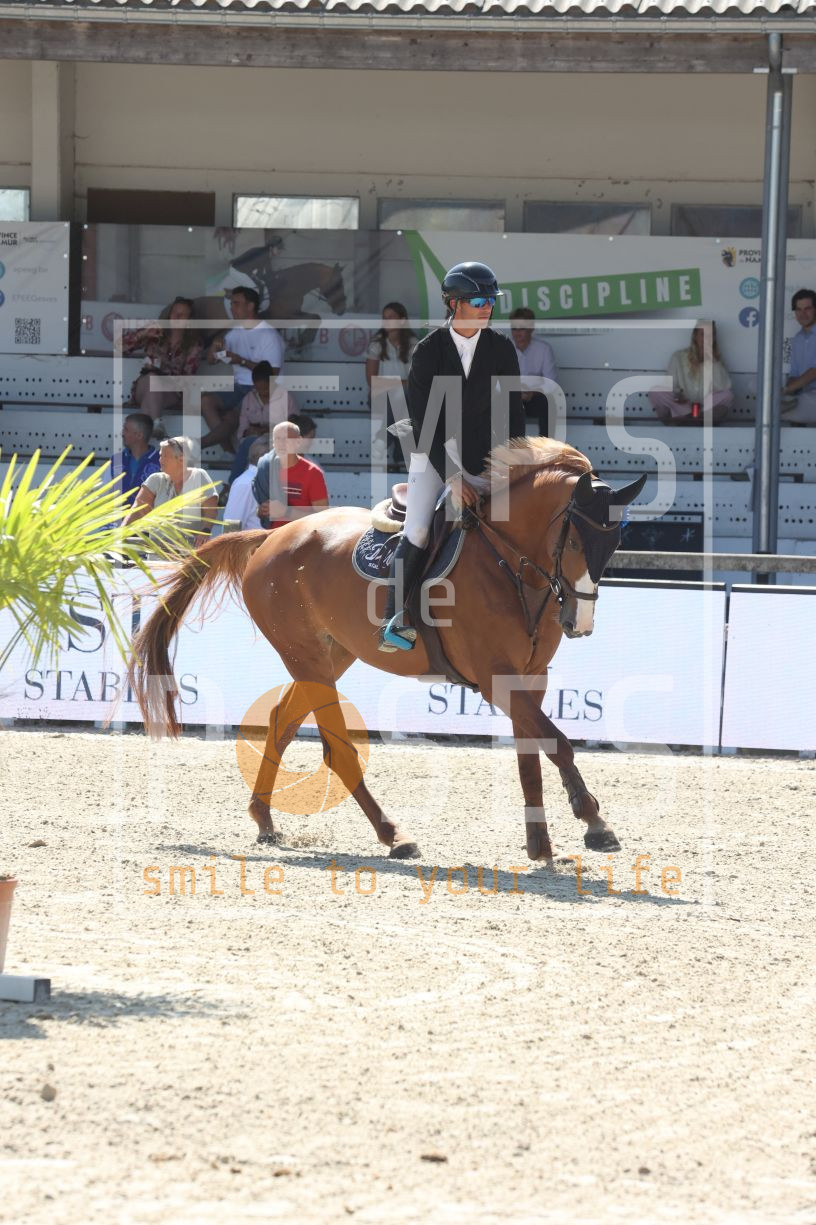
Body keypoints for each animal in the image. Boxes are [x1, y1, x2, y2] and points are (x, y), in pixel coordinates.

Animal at [129, 439, 645, 865]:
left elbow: (531, 754)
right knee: (336, 749)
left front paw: (541, 843)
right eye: (574, 541)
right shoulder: (494, 677)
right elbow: (557, 742)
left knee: (281, 723)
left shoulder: (532, 677)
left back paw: (264, 820)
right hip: (307, 658)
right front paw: (595, 823)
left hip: (330, 656)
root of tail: (272, 537)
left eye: (616, 543)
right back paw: (394, 836)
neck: (508, 563)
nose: (580, 624)